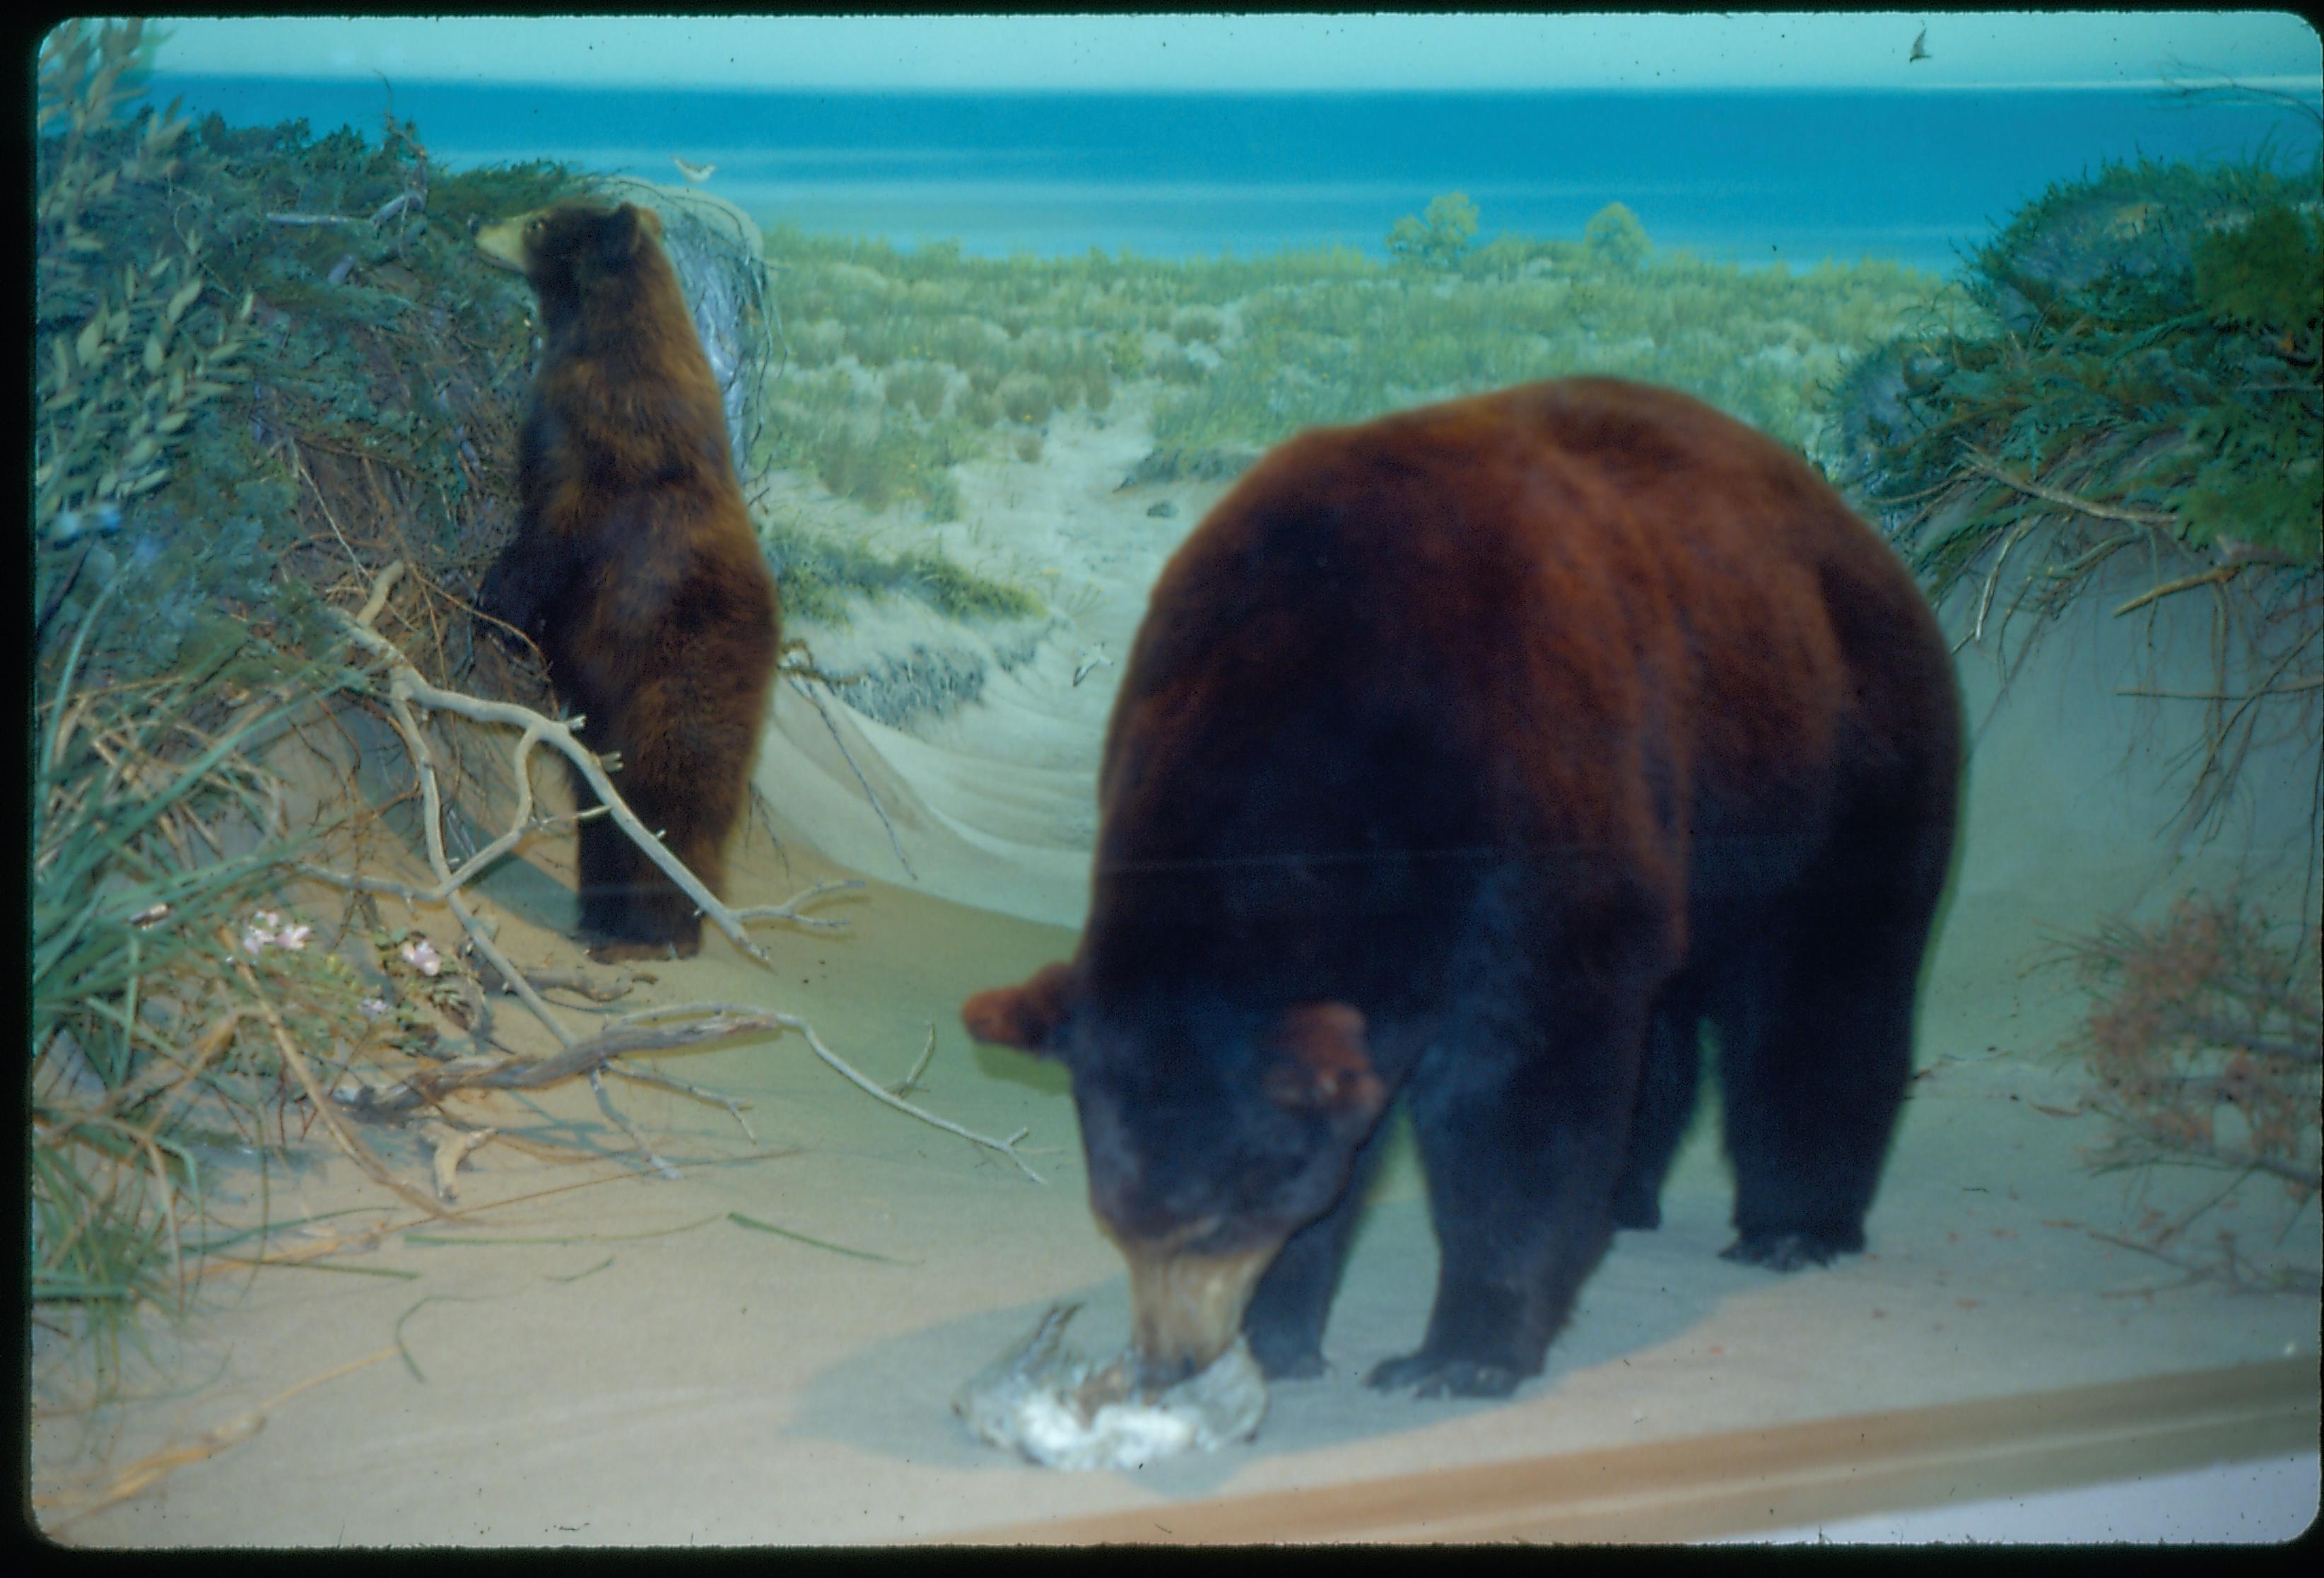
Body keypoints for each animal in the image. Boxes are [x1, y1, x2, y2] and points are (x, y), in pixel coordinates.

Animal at [474, 197, 780, 962]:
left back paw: (657, 929)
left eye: (539, 223)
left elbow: (557, 534)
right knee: (603, 804)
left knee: (666, 803)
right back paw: (600, 914)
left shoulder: (612, 453)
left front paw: (497, 602)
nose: (477, 227)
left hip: (674, 687)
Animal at [962, 376, 1961, 1403]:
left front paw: (1456, 1352)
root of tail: (1874, 537)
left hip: (1835, 767)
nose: (1171, 1360)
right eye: (1114, 1219)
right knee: (1668, 1020)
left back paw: (1795, 1225)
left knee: (1824, 997)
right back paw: (1632, 1194)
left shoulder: (1533, 804)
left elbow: (1521, 1097)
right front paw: (1283, 1336)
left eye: (1215, 1220)